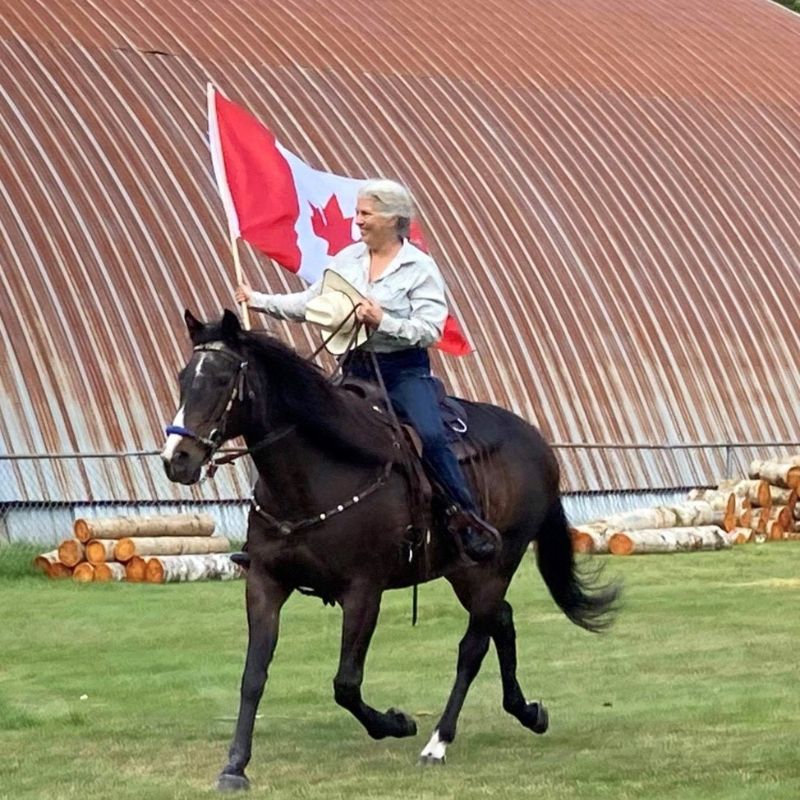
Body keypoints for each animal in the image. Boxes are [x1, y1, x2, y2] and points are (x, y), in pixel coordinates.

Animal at [159, 310, 616, 792]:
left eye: (222, 379)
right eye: (184, 378)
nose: (177, 459)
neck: (318, 472)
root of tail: (538, 443)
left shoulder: (364, 592)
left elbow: (346, 682)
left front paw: (396, 723)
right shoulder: (266, 581)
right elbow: (253, 676)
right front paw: (235, 766)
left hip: (498, 564)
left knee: (472, 647)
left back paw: (437, 742)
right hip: (465, 571)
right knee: (503, 621)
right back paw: (527, 712)